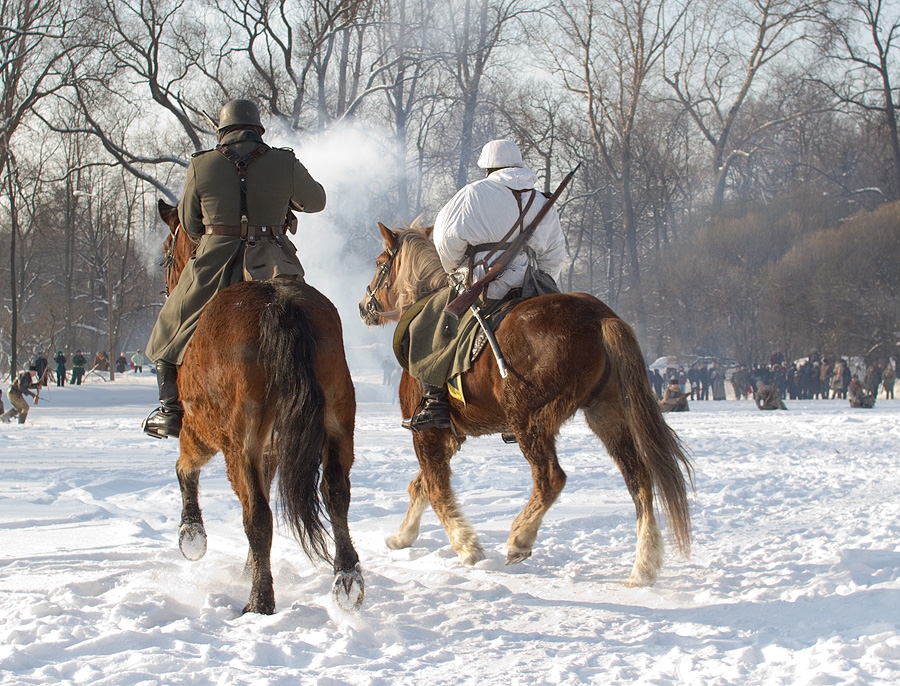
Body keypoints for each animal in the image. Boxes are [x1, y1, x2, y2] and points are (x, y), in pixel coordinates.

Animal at [157, 200, 362, 620]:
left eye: (167, 253)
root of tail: (278, 303)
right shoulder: (270, 451)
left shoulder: (202, 431)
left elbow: (185, 468)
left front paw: (192, 535)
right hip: (336, 424)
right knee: (335, 492)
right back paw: (347, 578)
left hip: (238, 444)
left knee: (258, 516)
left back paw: (259, 601)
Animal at [360, 224, 696, 584]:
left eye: (380, 263)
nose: (364, 306)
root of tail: (599, 317)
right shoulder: (451, 435)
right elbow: (420, 485)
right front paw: (402, 536)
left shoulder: (427, 433)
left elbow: (435, 488)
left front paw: (467, 547)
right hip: (606, 414)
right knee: (639, 480)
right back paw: (643, 566)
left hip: (528, 419)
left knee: (551, 478)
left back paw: (520, 537)